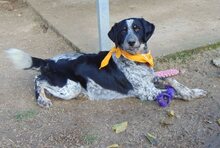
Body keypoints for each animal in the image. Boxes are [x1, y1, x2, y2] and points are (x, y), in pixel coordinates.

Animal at [5, 17, 208, 107]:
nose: (131, 42)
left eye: (137, 28)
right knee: (38, 80)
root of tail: (49, 61)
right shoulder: (146, 92)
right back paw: (42, 99)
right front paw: (189, 95)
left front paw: (193, 91)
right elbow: (170, 92)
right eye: (123, 31)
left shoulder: (152, 79)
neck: (136, 59)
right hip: (70, 87)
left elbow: (172, 80)